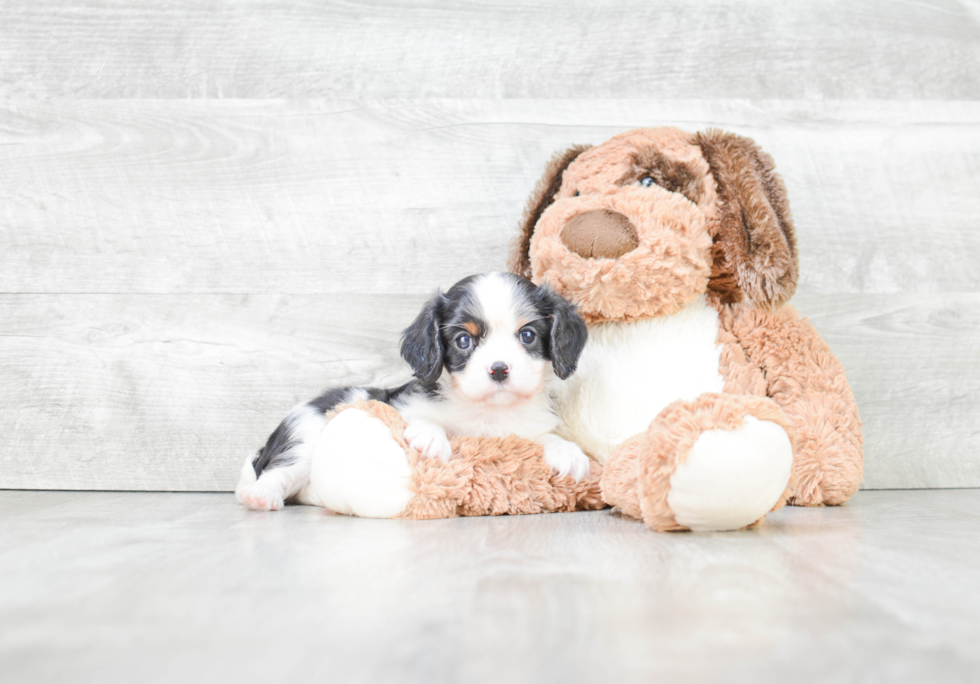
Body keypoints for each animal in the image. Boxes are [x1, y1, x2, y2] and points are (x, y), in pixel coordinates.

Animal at [237, 272, 588, 512]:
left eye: (528, 335)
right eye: (464, 341)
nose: (499, 369)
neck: (487, 411)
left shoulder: (524, 432)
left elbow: (545, 437)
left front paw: (567, 451)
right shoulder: (404, 405)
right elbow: (422, 419)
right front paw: (430, 438)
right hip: (305, 436)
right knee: (278, 472)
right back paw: (261, 495)